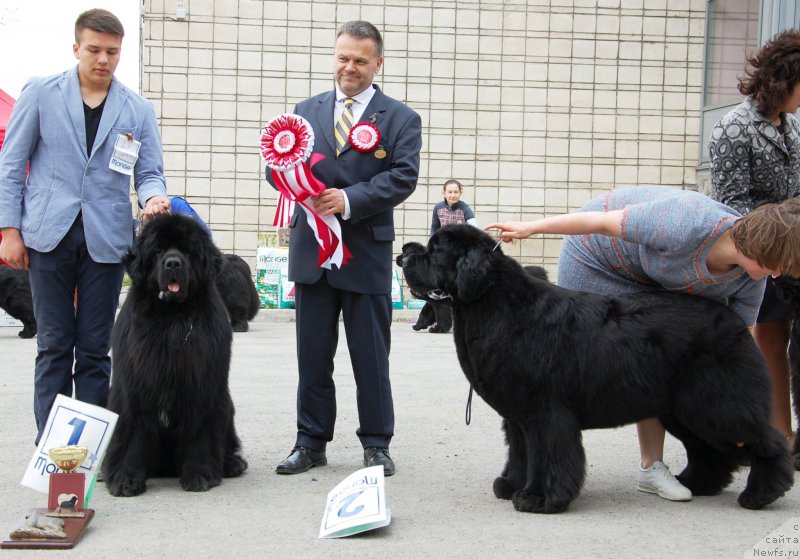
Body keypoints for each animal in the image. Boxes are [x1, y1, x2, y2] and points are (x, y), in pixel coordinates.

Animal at [104, 214, 247, 494]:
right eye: (158, 251)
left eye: (188, 251)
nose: (173, 263)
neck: (172, 318)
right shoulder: (135, 387)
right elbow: (132, 432)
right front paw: (125, 479)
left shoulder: (201, 386)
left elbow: (200, 432)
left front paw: (200, 475)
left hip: (228, 405)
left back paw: (232, 464)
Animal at [400, 225, 792, 516]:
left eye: (434, 251)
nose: (403, 255)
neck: (496, 305)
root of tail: (734, 319)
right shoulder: (518, 416)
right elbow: (520, 453)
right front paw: (511, 485)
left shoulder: (546, 412)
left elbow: (546, 455)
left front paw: (540, 499)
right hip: (683, 409)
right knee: (709, 450)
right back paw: (697, 483)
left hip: (716, 403)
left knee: (765, 440)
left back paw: (761, 494)